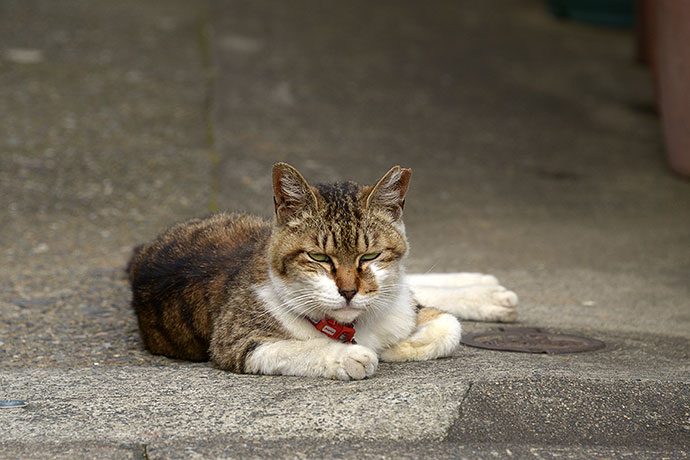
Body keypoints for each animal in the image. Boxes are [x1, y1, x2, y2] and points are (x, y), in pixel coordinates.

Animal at [127, 164, 516, 380]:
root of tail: (140, 251)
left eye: (370, 255)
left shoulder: (402, 304)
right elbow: (294, 349)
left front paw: (395, 345)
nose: (348, 291)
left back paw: (487, 289)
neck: (351, 324)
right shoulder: (233, 341)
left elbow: (448, 326)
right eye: (318, 257)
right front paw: (354, 356)